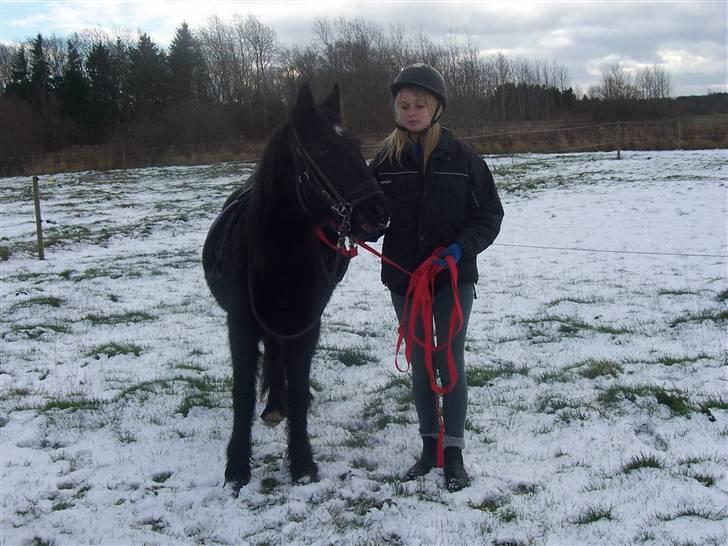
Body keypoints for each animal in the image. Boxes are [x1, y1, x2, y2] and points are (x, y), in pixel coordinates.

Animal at [202, 83, 391, 494]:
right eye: (324, 151)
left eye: (356, 145)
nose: (378, 214)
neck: (277, 254)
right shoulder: (240, 325)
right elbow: (242, 392)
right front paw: (237, 466)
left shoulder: (307, 323)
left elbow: (299, 383)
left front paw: (302, 463)